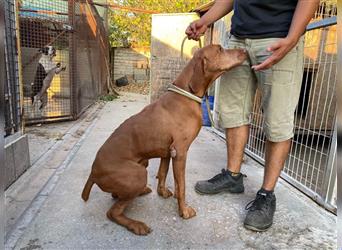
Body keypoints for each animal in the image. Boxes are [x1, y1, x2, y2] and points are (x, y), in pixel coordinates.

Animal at [81, 44, 246, 234]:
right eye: (220, 49)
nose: (245, 51)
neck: (186, 94)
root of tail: (93, 173)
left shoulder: (167, 152)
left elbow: (163, 173)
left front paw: (163, 192)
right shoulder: (180, 152)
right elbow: (181, 185)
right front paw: (184, 211)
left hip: (141, 165)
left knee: (116, 195)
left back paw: (140, 192)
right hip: (138, 173)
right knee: (112, 212)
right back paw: (136, 225)